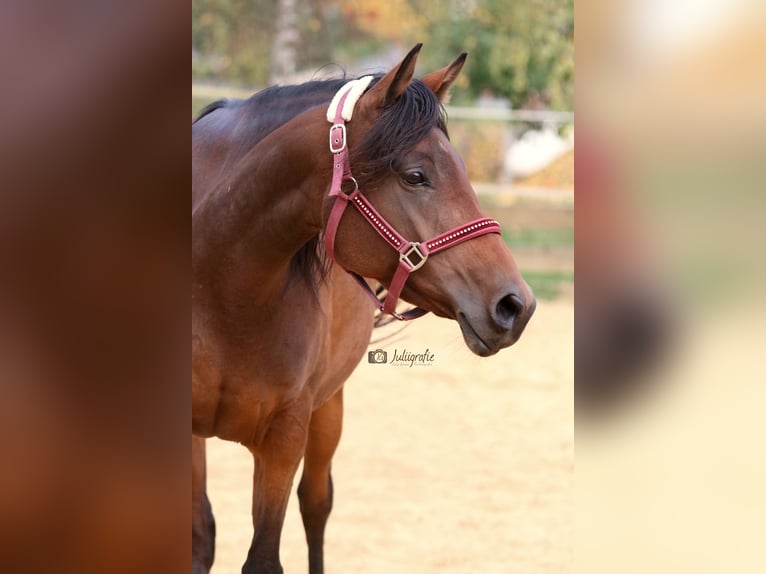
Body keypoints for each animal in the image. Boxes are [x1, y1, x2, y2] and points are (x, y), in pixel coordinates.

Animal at [194, 46, 536, 574]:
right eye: (415, 175)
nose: (515, 304)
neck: (222, 280)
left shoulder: (285, 435)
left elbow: (265, 556)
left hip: (328, 407)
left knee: (316, 505)